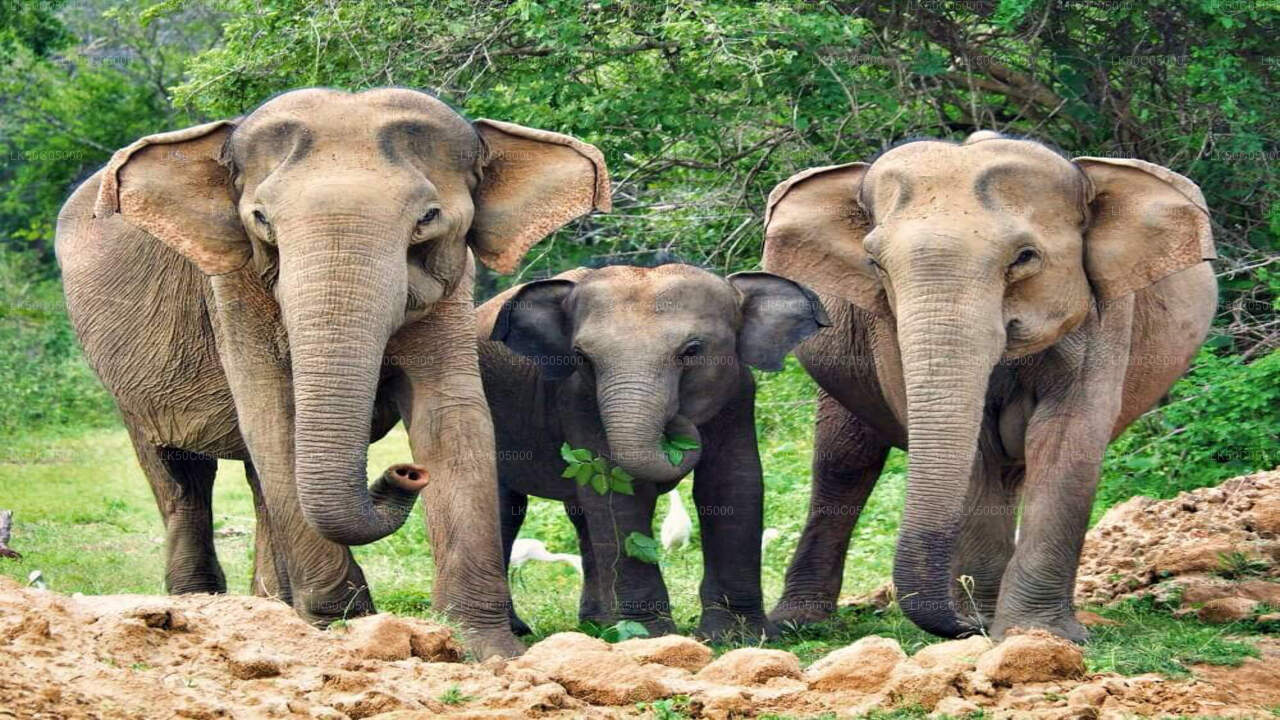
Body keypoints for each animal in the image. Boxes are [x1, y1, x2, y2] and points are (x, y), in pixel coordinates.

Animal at [51, 85, 609, 655]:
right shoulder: (232, 290)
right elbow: (272, 416)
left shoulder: (454, 283)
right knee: (181, 476)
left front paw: (487, 649)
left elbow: (453, 414)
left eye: (427, 218)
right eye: (262, 220)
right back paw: (201, 604)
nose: (406, 472)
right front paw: (343, 626)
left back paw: (273, 606)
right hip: (130, 384)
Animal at [473, 265, 829, 638]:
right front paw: (648, 635)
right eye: (582, 357)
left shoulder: (739, 392)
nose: (679, 424)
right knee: (508, 508)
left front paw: (738, 636)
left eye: (692, 350)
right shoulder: (577, 399)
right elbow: (618, 491)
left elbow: (732, 483)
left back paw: (597, 624)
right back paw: (523, 629)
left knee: (580, 514)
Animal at [762, 130, 1213, 638]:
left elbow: (1066, 436)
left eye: (1025, 257)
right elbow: (979, 449)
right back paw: (798, 624)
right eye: (874, 263)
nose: (961, 625)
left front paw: (1036, 633)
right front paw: (989, 623)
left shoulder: (1108, 314)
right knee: (844, 460)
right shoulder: (888, 331)